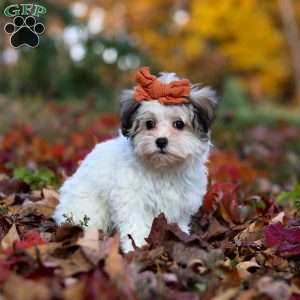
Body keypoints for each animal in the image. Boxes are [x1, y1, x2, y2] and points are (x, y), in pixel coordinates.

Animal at [54, 67, 217, 252]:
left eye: (179, 124)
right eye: (149, 124)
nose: (161, 141)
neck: (164, 168)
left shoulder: (181, 201)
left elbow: (178, 221)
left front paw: (181, 235)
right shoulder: (132, 198)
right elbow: (135, 223)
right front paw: (136, 246)